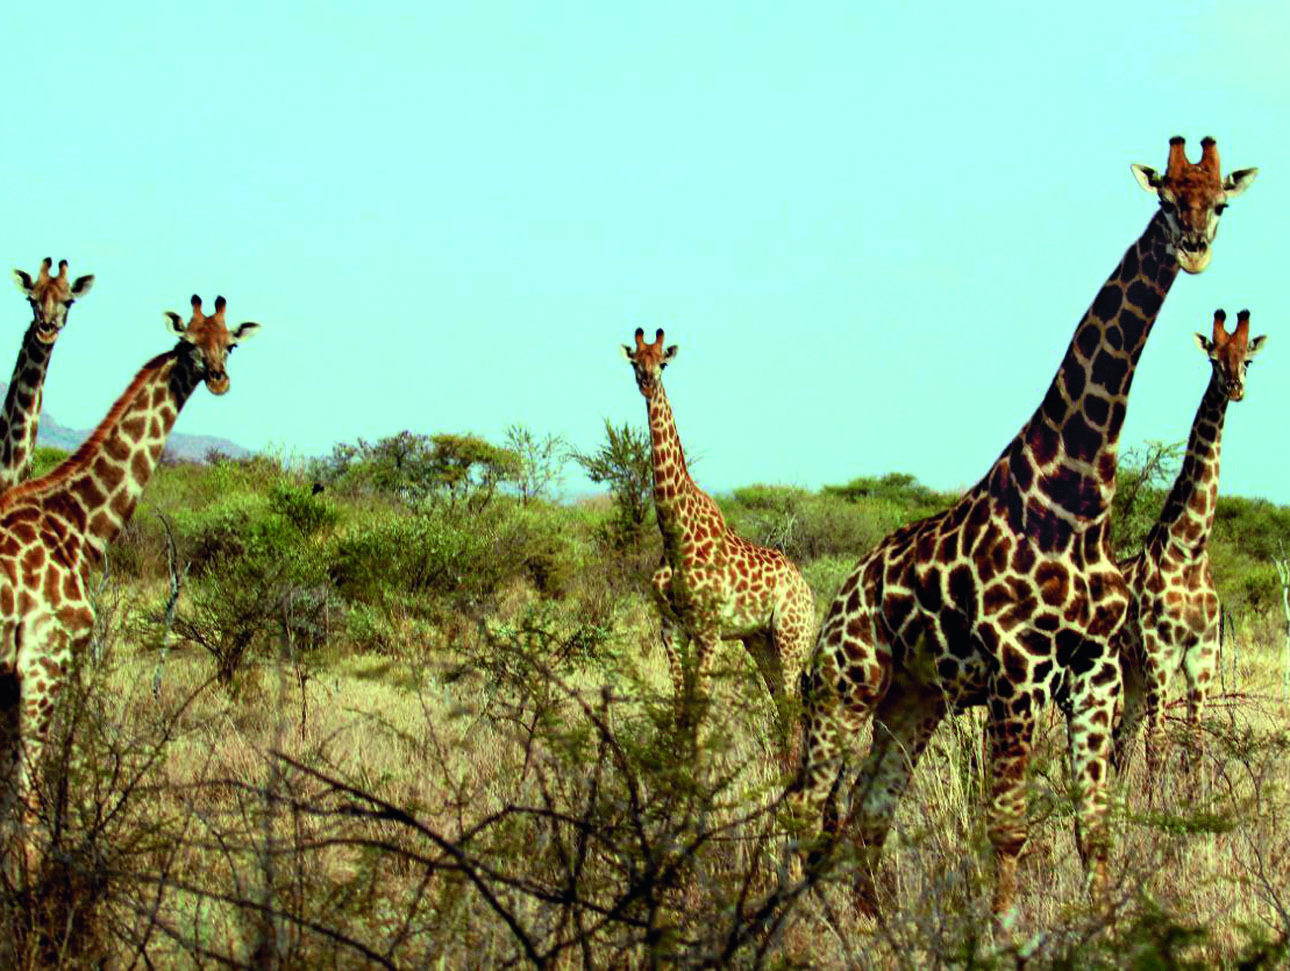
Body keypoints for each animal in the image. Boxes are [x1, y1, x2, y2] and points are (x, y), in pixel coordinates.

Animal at [0, 291, 259, 845]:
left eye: (229, 344)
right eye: (188, 343)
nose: (219, 378)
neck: (76, 521)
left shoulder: (9, 679)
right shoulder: (43, 663)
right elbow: (27, 807)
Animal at [621, 330, 815, 763]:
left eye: (663, 362)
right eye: (634, 362)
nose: (647, 382)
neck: (675, 535)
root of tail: (807, 589)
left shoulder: (709, 633)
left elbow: (701, 712)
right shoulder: (672, 629)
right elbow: (681, 711)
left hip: (791, 638)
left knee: (795, 707)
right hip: (759, 640)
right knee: (782, 707)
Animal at [1114, 310, 1264, 778]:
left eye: (1247, 359)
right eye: (1214, 359)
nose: (1235, 388)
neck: (1190, 547)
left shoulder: (1201, 658)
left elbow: (1194, 743)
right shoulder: (1160, 655)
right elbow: (1158, 744)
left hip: (1131, 674)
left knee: (1120, 736)